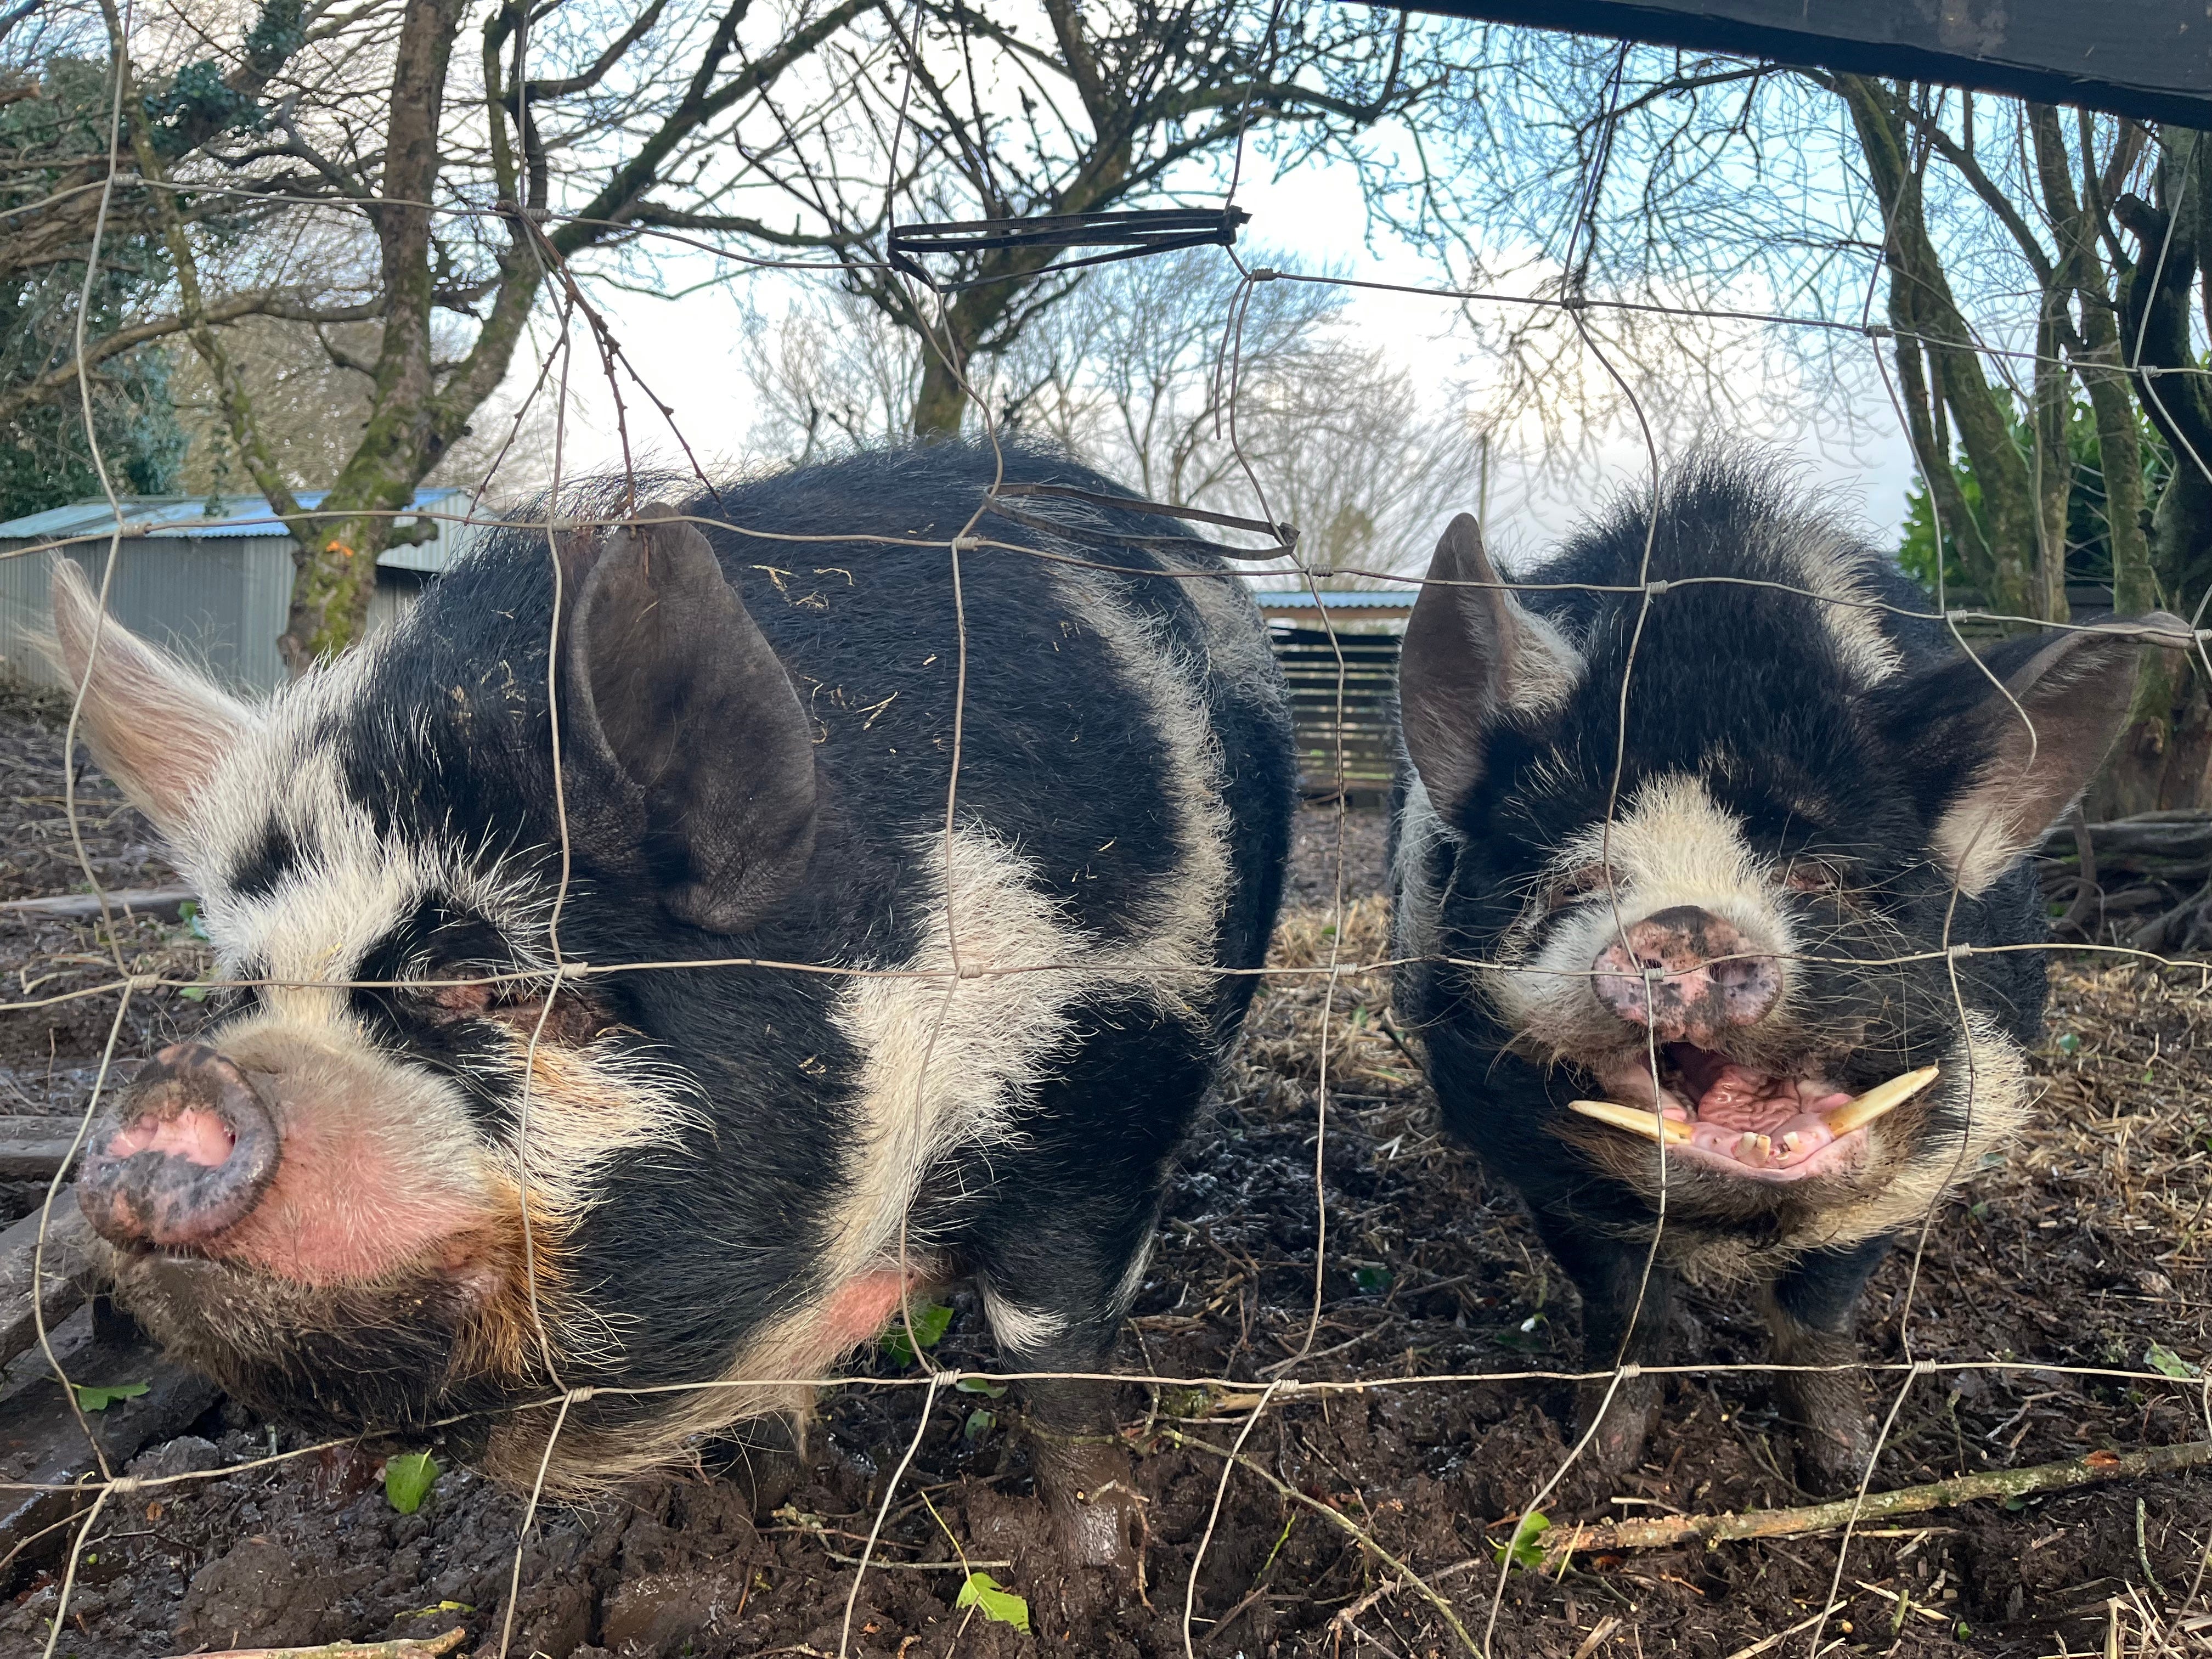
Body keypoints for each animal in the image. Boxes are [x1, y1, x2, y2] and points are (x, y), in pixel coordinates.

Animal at [49, 443, 1294, 1572]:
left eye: (493, 983)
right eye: (246, 988)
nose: (184, 1074)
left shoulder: (1109, 1093)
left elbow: (1057, 1361)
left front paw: (1099, 1569)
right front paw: (779, 1502)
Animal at [1389, 455, 2184, 1488]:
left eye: (1816, 878)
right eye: (1579, 876)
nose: (1686, 922)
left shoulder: (1929, 1146)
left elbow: (1817, 1315)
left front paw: (1849, 1472)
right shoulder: (1532, 1156)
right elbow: (1625, 1311)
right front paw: (1592, 1468)